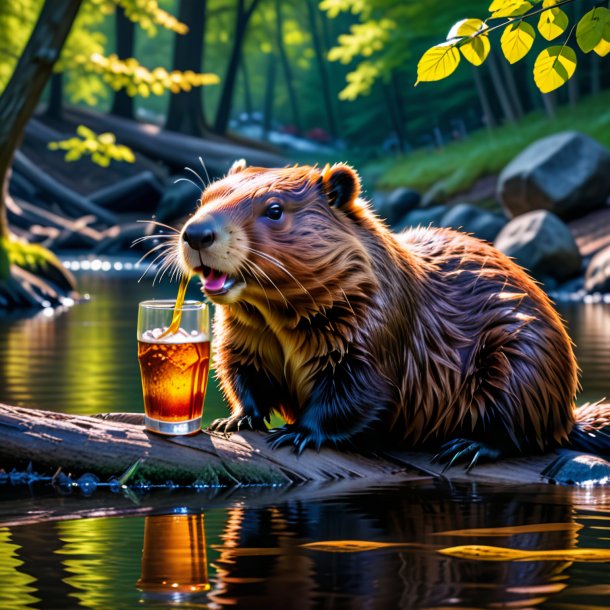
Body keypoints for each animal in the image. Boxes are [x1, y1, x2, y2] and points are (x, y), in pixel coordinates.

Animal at [176, 160, 608, 466]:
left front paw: (297, 433)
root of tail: (569, 416)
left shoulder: (375, 325)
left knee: (523, 432)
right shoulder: (245, 335)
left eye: (275, 209)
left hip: (522, 361)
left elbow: (357, 392)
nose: (197, 234)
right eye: (205, 197)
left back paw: (466, 447)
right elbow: (243, 375)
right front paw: (234, 420)